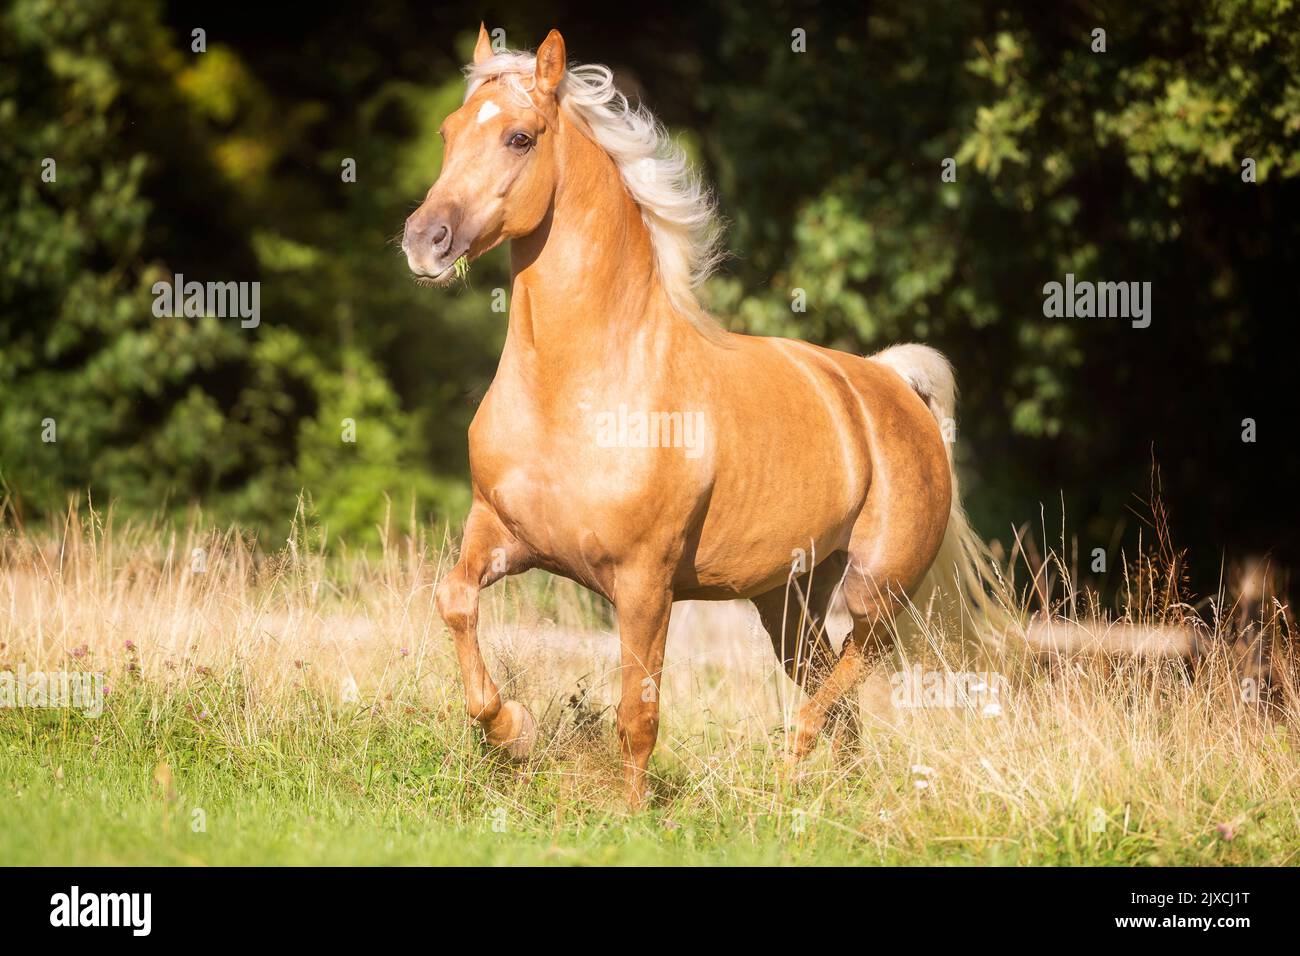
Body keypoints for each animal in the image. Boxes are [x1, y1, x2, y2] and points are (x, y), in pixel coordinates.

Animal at [400, 26, 987, 806]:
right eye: (448, 131)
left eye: (520, 137)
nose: (424, 240)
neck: (575, 391)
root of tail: (890, 383)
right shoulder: (497, 533)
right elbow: (454, 601)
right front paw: (512, 730)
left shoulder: (645, 584)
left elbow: (636, 714)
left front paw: (628, 814)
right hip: (787, 597)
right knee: (832, 686)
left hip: (877, 590)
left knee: (847, 674)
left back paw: (783, 783)